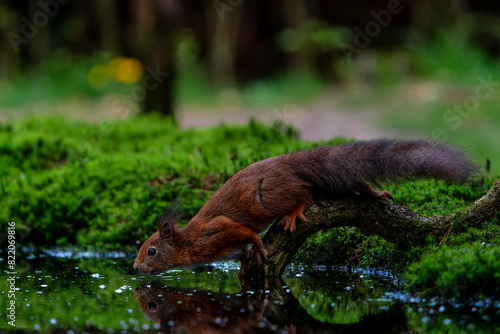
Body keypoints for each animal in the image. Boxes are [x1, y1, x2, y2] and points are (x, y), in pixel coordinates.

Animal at [134, 138, 480, 276]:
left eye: (151, 250)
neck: (187, 243)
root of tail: (288, 162)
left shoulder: (214, 232)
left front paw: (258, 246)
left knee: (305, 193)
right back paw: (374, 193)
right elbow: (242, 252)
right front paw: (245, 262)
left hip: (269, 197)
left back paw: (294, 211)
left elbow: (243, 231)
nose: (135, 267)